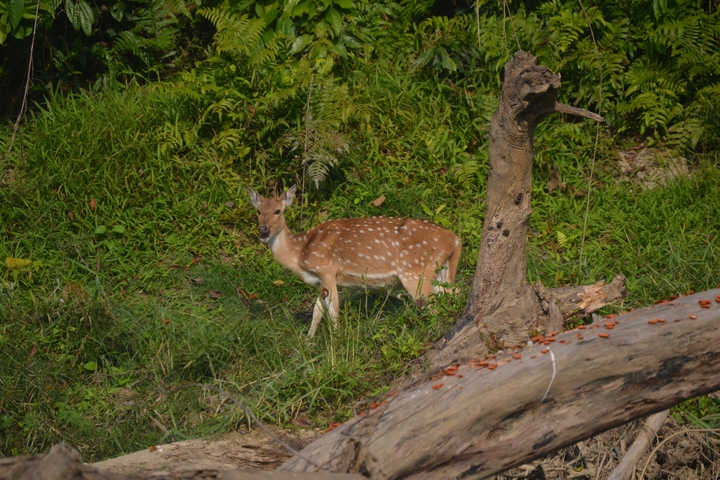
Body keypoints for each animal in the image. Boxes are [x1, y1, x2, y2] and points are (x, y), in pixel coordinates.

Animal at [247, 185, 462, 338]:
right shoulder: (320, 280)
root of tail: (454, 239)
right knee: (453, 293)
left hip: (415, 271)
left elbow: (333, 309)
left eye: (278, 211)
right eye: (258, 211)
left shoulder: (327, 269)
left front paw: (337, 340)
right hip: (440, 270)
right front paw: (308, 342)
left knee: (432, 304)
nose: (263, 230)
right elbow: (317, 310)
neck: (301, 252)